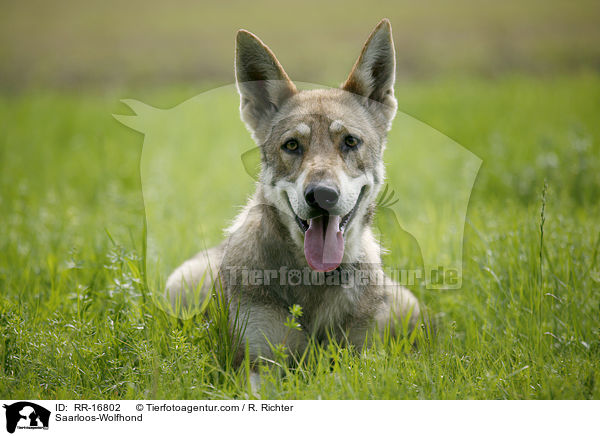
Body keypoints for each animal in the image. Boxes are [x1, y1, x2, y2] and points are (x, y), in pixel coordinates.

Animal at [166, 18, 420, 366]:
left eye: (350, 142)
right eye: (291, 145)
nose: (322, 194)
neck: (315, 280)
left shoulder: (364, 357)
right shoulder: (257, 361)